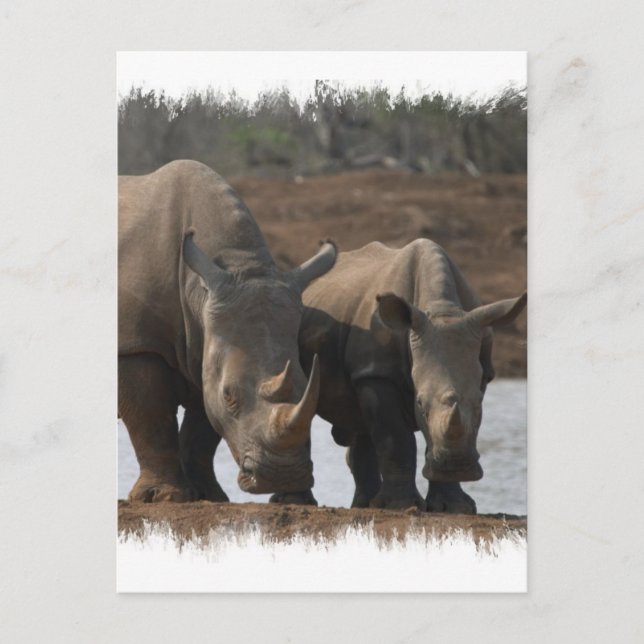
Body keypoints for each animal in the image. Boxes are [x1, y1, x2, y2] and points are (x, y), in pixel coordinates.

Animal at [118, 160, 336, 503]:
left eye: (310, 390)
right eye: (230, 395)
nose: (282, 475)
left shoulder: (204, 340)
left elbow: (203, 428)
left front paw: (209, 496)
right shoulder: (136, 343)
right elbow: (151, 418)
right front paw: (165, 497)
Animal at [298, 239, 526, 513]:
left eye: (480, 404)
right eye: (420, 404)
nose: (456, 466)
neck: (442, 310)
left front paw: (453, 507)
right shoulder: (379, 372)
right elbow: (396, 439)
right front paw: (400, 505)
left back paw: (364, 506)